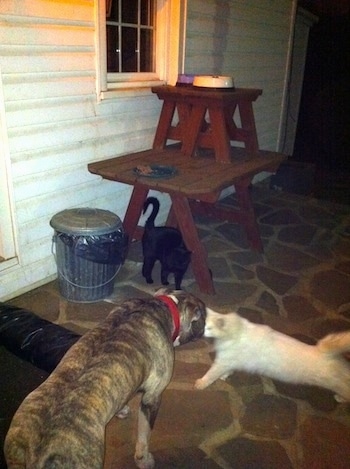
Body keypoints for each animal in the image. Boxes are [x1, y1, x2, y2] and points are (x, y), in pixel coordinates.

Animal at [4, 288, 206, 468]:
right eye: (203, 315)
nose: (206, 325)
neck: (164, 305)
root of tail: (36, 452)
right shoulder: (152, 397)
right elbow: (144, 435)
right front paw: (144, 459)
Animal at [196, 308, 350, 402]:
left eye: (207, 327)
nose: (197, 332)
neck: (237, 332)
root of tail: (323, 351)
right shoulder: (228, 361)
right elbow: (227, 371)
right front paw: (224, 376)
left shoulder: (222, 362)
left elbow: (210, 375)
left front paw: (200, 384)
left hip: (335, 384)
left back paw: (340, 398)